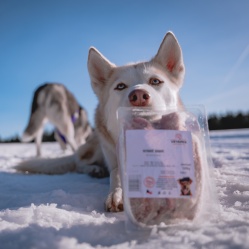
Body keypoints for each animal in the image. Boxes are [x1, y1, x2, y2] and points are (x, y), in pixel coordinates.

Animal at [16, 31, 204, 218]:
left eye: (155, 81)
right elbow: (116, 173)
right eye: (120, 86)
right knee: (78, 162)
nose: (139, 96)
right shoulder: (114, 159)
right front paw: (117, 193)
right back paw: (94, 169)